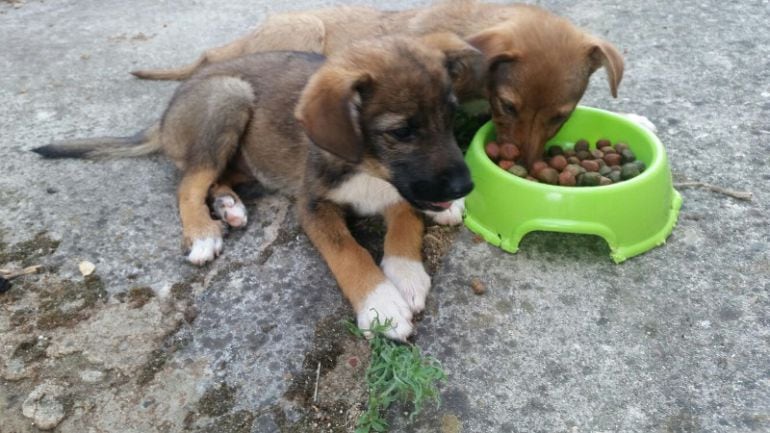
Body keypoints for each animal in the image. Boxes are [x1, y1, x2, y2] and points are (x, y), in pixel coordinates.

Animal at [36, 33, 484, 340]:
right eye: (402, 132)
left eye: (450, 118)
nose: (466, 186)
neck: (366, 167)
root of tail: (165, 117)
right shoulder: (313, 205)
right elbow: (349, 253)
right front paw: (381, 304)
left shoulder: (397, 187)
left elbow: (406, 217)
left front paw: (407, 273)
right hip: (228, 97)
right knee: (189, 183)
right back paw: (203, 231)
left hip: (251, 159)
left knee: (218, 178)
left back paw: (228, 204)